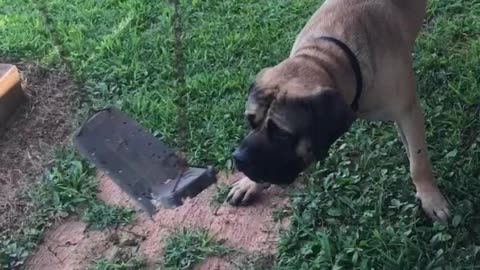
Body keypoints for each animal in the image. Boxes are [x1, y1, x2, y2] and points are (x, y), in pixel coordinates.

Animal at [227, 0, 448, 220]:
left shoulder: (408, 113)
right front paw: (249, 184)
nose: (239, 158)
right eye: (250, 121)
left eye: (283, 134)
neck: (330, 56)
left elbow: (418, 163)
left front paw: (431, 198)